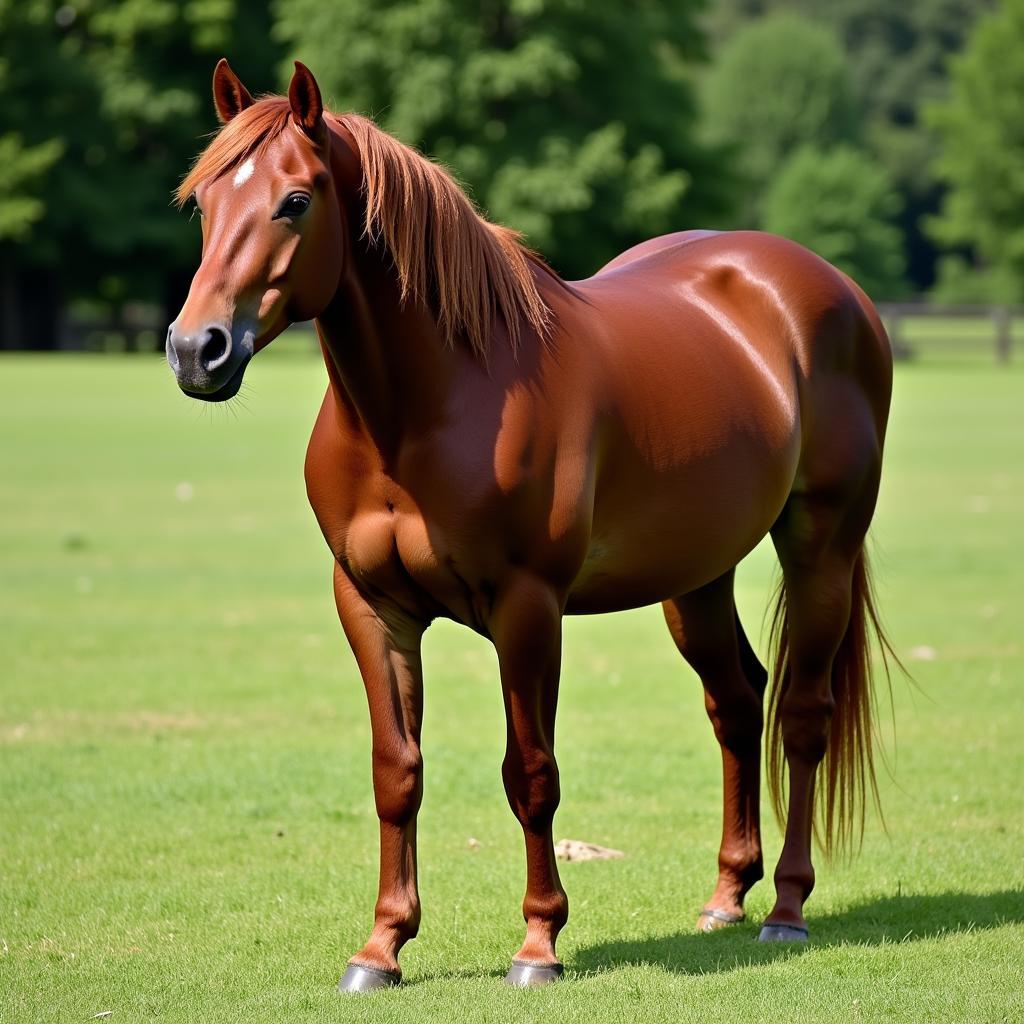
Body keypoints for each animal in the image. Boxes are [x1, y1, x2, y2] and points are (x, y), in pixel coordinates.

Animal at [167, 59, 897, 987]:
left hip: (821, 548)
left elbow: (532, 773)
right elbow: (395, 772)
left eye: (295, 200)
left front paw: (539, 944)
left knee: (802, 716)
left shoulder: (527, 607)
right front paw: (381, 946)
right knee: (736, 702)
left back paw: (787, 910)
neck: (430, 405)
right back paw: (727, 897)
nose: (198, 350)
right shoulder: (371, 605)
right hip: (696, 577)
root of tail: (831, 290)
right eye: (203, 201)